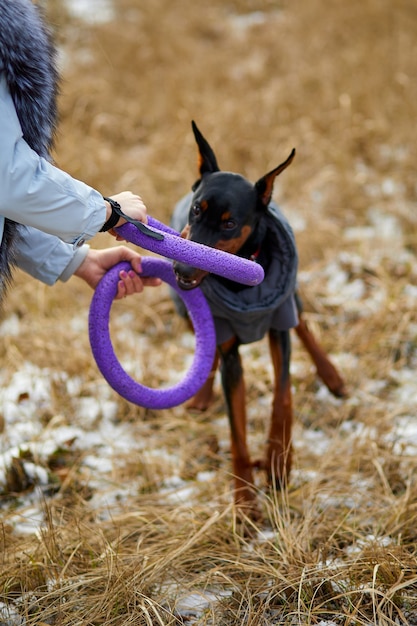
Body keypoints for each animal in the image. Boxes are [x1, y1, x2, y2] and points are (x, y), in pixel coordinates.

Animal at [169, 122, 344, 516]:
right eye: (196, 210)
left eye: (230, 224)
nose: (181, 269)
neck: (240, 284)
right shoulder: (230, 351)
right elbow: (237, 429)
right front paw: (244, 499)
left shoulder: (279, 327)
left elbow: (283, 398)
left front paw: (279, 463)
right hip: (186, 309)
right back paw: (201, 395)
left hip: (290, 298)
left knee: (304, 325)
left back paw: (332, 376)